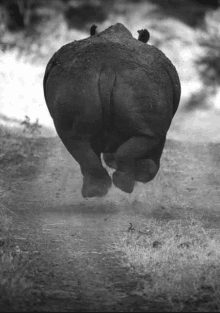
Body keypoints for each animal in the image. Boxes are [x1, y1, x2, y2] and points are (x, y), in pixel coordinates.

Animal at [43, 22, 180, 197]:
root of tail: (107, 67)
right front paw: (139, 171)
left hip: (75, 83)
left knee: (73, 138)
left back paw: (95, 191)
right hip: (139, 82)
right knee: (150, 137)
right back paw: (123, 184)